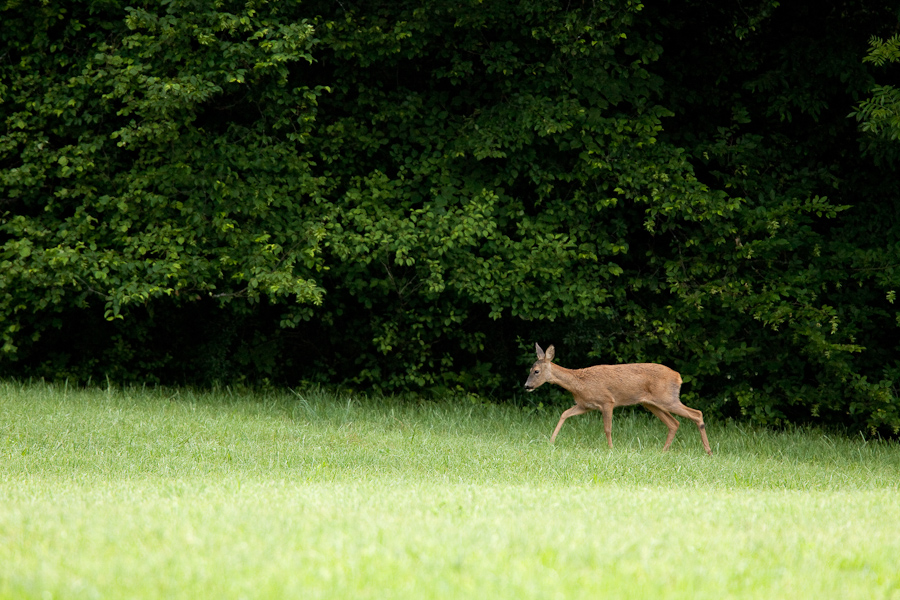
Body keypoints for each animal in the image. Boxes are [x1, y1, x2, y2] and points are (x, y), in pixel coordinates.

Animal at [528, 342, 712, 454]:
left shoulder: (607, 401)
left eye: (536, 371)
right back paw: (663, 451)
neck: (579, 383)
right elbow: (564, 414)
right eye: (530, 369)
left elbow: (607, 428)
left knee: (696, 413)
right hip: (651, 403)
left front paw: (610, 448)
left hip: (668, 399)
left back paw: (708, 451)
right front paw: (551, 441)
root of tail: (678, 377)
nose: (526, 386)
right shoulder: (584, 405)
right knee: (674, 423)